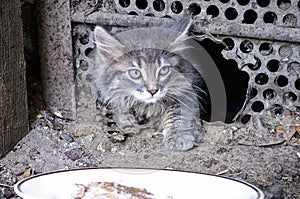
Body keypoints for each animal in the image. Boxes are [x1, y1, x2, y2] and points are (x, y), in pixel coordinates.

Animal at [93, 17, 209, 150]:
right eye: (135, 73)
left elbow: (178, 113)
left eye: (164, 70)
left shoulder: (189, 89)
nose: (153, 90)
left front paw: (178, 136)